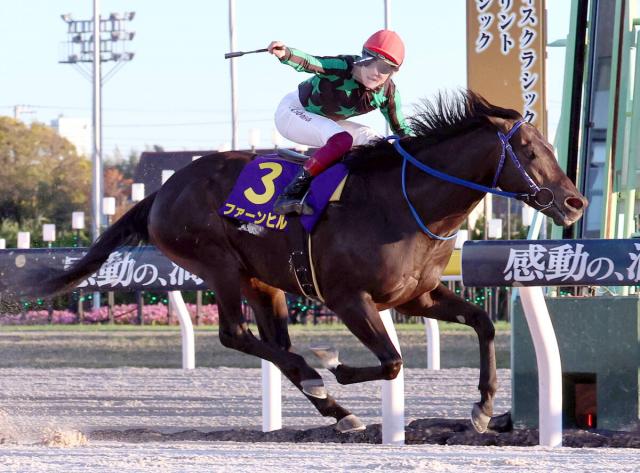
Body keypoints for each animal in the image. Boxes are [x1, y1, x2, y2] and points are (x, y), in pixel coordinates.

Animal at [7, 90, 587, 434]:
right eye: (531, 151)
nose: (575, 201)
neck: (407, 202)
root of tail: (163, 191)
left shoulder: (418, 294)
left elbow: (483, 323)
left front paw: (483, 408)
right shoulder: (349, 298)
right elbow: (392, 361)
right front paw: (335, 364)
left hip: (264, 280)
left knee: (273, 342)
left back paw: (331, 404)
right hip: (218, 264)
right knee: (236, 335)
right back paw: (317, 379)